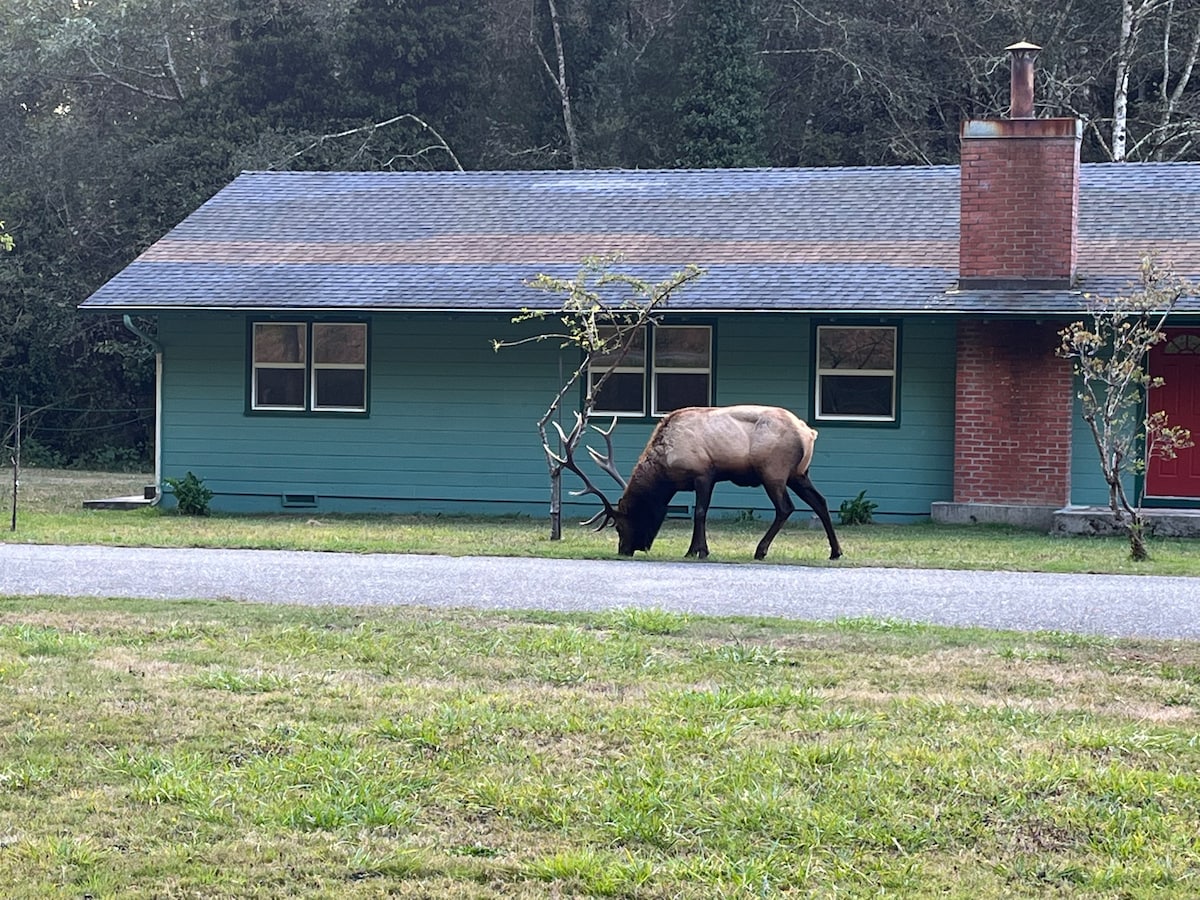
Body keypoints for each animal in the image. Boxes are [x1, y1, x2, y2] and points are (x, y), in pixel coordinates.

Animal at [552, 405, 844, 561]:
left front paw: (697, 550)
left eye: (620, 526)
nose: (625, 550)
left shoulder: (704, 473)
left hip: (773, 471)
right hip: (798, 474)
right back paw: (835, 551)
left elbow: (700, 513)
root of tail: (809, 433)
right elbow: (700, 513)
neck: (665, 470)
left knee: (785, 508)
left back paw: (760, 550)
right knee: (820, 502)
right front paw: (699, 549)